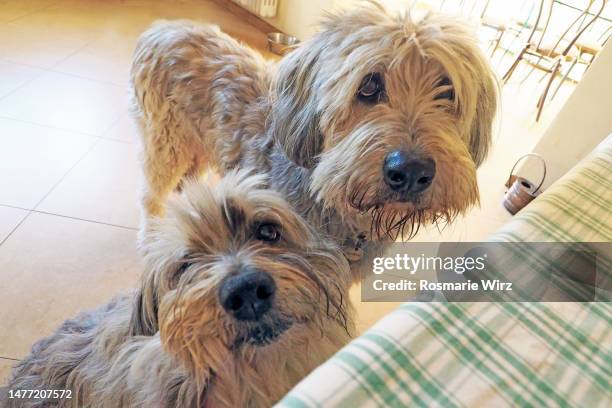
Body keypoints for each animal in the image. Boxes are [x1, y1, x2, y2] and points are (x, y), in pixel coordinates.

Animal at [130, 0, 498, 278]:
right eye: (368, 86)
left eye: (447, 90)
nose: (411, 171)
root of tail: (163, 28)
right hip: (166, 141)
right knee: (151, 197)